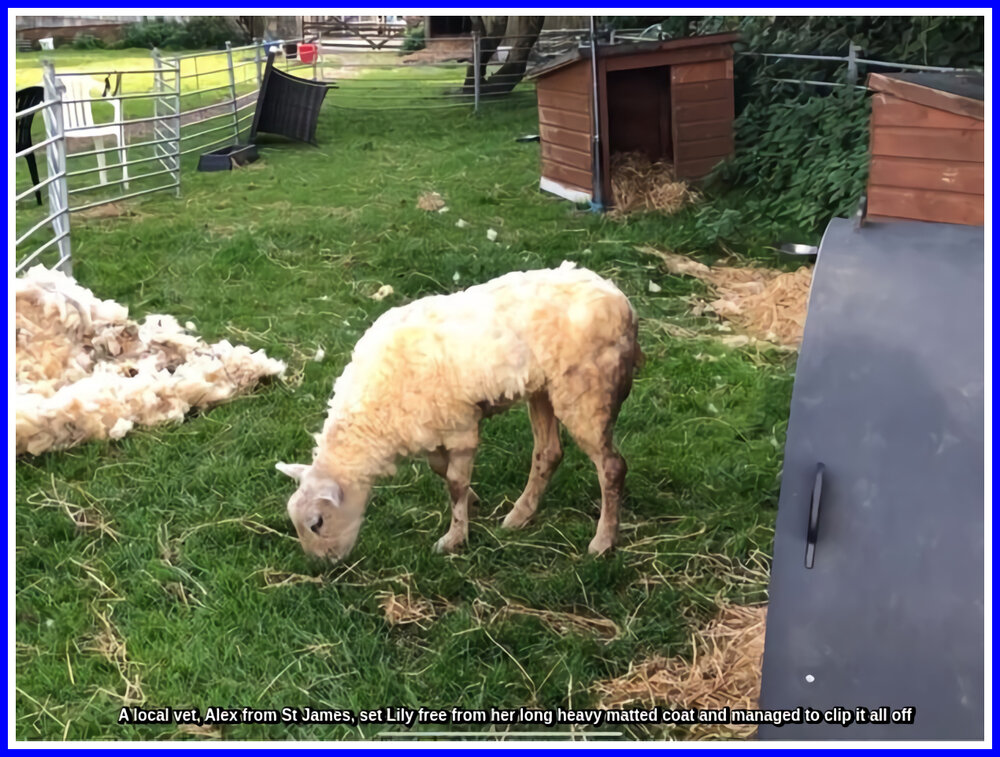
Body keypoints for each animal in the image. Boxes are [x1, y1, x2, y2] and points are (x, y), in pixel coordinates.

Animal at [276, 261, 642, 560]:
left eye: (317, 523)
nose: (323, 565)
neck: (371, 418)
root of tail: (621, 301)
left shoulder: (460, 426)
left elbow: (453, 481)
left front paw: (454, 539)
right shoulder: (430, 426)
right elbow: (441, 470)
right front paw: (473, 503)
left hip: (587, 392)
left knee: (611, 466)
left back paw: (603, 541)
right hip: (543, 390)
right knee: (549, 453)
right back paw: (519, 516)